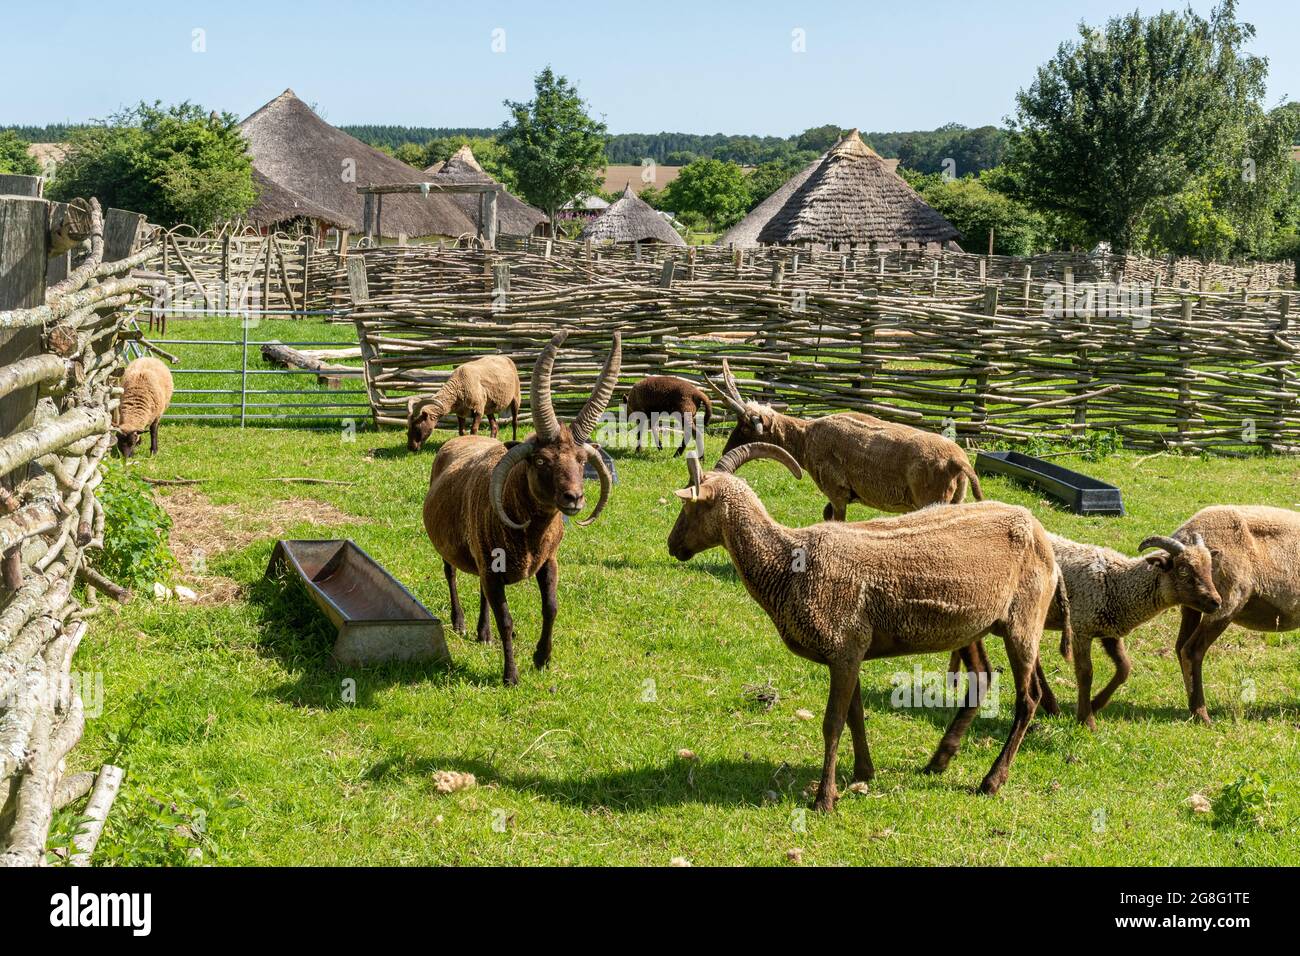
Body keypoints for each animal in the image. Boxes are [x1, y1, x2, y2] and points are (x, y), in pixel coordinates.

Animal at [416, 332, 618, 686]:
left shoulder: (546, 562)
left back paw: (483, 634)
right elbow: (506, 620)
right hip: (451, 546)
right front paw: (510, 676)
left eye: (582, 460)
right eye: (541, 460)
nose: (574, 499)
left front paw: (542, 658)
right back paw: (460, 622)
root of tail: (458, 442)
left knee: (480, 590)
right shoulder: (493, 569)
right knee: (450, 573)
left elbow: (551, 608)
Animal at [665, 444, 1071, 811]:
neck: (787, 565)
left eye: (691, 504)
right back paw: (938, 761)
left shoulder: (844, 648)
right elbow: (855, 716)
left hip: (1024, 622)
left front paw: (824, 799)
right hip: (973, 625)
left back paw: (992, 780)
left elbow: (833, 722)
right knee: (983, 678)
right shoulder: (850, 651)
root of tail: (1039, 531)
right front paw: (863, 772)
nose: (672, 546)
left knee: (1028, 698)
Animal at [707, 358, 977, 520]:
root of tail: (959, 461)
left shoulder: (837, 492)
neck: (805, 438)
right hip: (956, 499)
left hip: (933, 500)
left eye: (745, 426)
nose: (724, 451)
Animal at [1170, 509, 1300, 723]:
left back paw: (1193, 709)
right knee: (1192, 650)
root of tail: (1183, 534)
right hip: (1226, 598)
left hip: (1193, 603)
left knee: (1180, 646)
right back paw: (1202, 715)